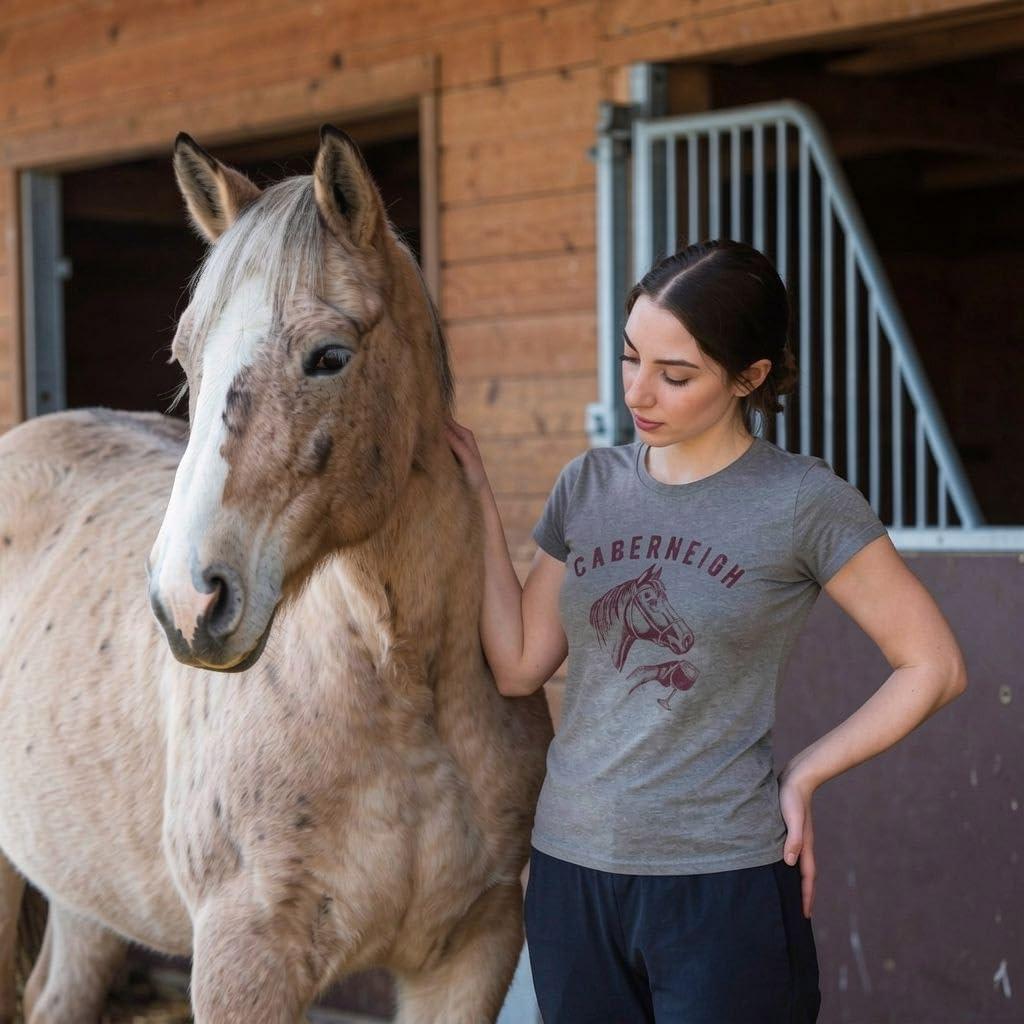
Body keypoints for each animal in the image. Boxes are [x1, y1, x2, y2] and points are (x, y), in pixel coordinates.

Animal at [0, 125, 553, 1024]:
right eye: (186, 359)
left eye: (328, 357)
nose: (187, 603)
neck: (404, 691)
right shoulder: (244, 962)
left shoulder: (474, 952)